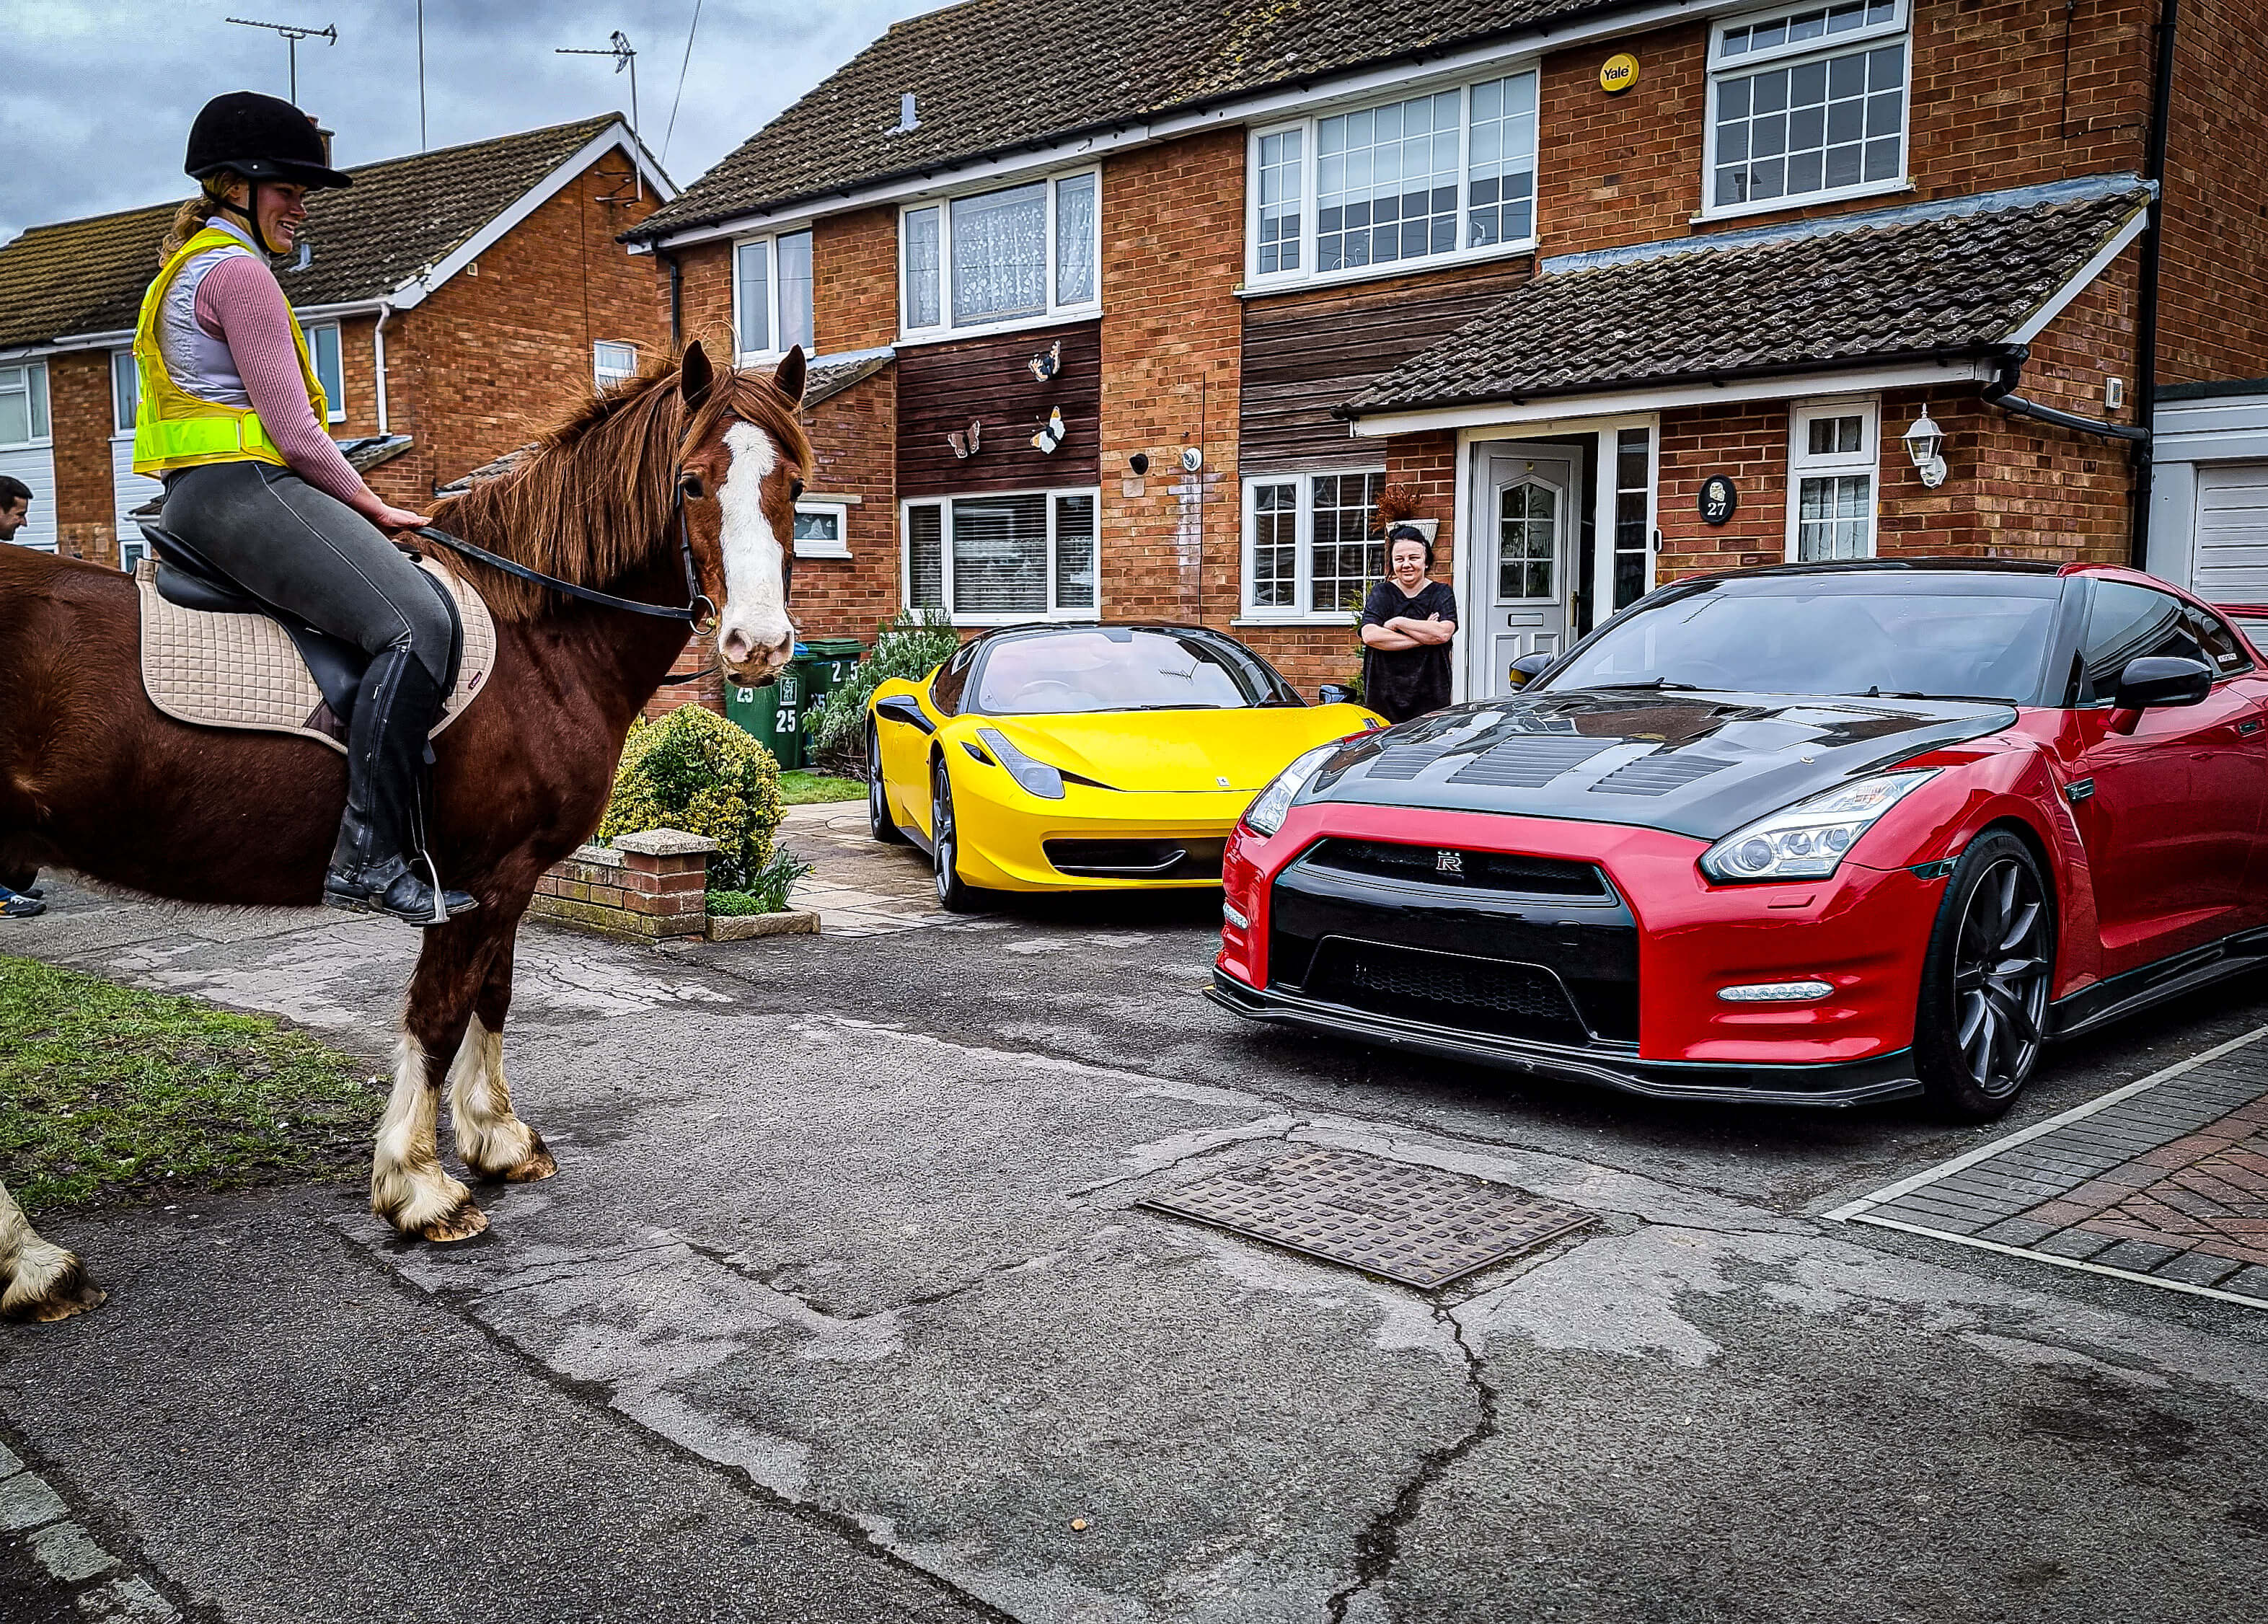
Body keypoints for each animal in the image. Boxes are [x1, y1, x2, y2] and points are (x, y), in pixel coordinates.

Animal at [0, 341, 812, 1323]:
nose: (758, 646)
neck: (536, 636)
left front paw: (497, 1138)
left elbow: (493, 995)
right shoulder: (473, 876)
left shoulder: (512, 875)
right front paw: (420, 1186)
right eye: (692, 482)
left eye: (795, 485)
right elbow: (439, 1010)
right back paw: (31, 1262)